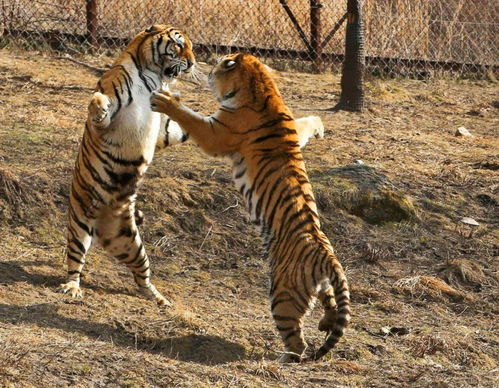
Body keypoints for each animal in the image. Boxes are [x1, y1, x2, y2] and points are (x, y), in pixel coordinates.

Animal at [59, 25, 196, 308]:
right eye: (179, 45)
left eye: (191, 47)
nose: (192, 63)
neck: (155, 77)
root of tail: (101, 228)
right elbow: (100, 106)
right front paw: (98, 104)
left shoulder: (163, 131)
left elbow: (181, 127)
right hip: (79, 224)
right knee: (75, 261)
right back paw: (72, 287)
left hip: (129, 242)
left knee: (141, 274)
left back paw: (158, 298)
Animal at [150, 53, 350, 362]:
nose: (206, 67)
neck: (263, 87)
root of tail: (327, 257)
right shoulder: (293, 126)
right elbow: (306, 123)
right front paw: (319, 127)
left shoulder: (216, 131)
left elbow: (190, 117)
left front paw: (166, 100)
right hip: (324, 286)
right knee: (329, 305)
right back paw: (325, 323)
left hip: (283, 296)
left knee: (296, 341)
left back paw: (286, 358)